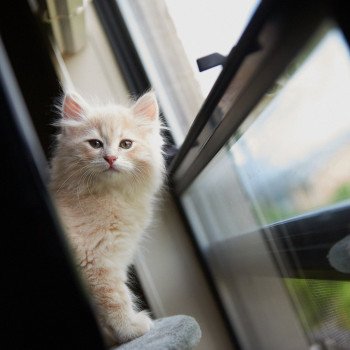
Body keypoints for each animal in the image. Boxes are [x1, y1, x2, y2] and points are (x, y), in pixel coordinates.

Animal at [49, 91, 165, 344]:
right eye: (95, 144)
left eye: (126, 144)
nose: (111, 158)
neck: (111, 196)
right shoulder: (95, 261)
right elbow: (116, 299)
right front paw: (130, 329)